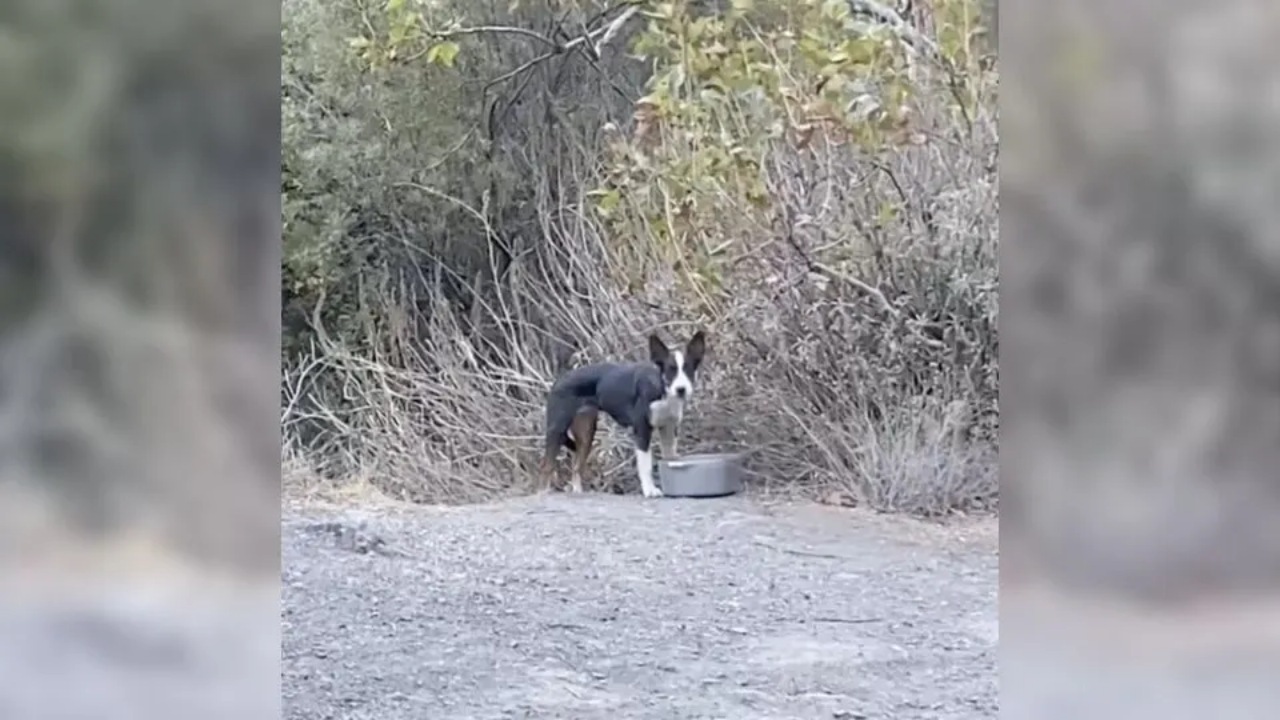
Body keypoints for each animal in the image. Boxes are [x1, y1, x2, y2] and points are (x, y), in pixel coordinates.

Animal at [535, 330, 706, 491]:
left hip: (586, 433)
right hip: (557, 429)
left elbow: (670, 457)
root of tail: (559, 379)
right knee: (546, 467)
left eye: (689, 370)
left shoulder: (669, 429)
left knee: (577, 467)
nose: (681, 389)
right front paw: (650, 490)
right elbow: (646, 466)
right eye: (670, 370)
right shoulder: (642, 431)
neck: (662, 392)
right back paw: (543, 493)